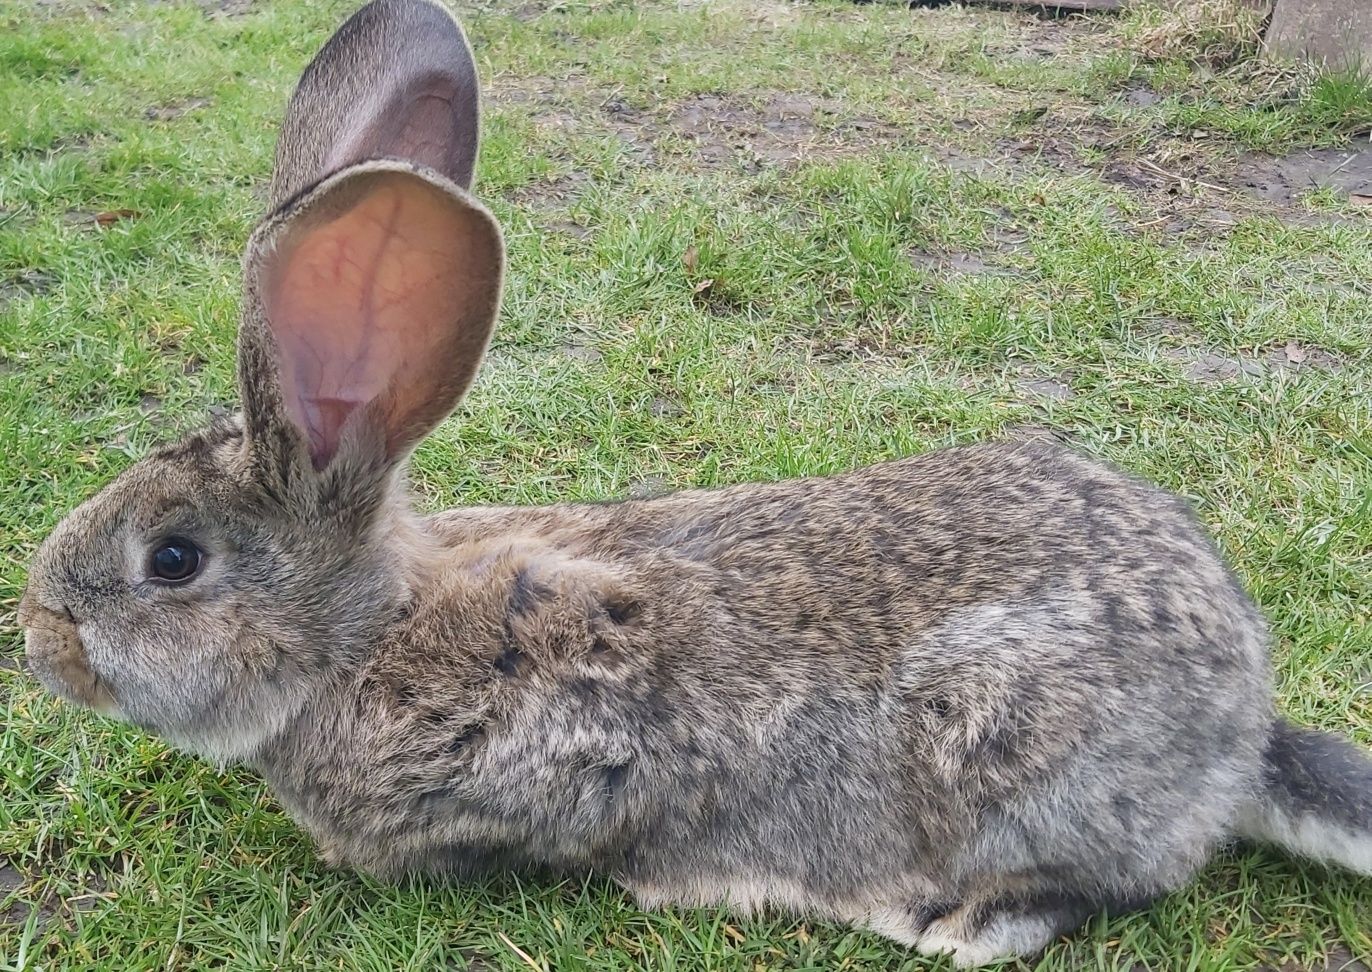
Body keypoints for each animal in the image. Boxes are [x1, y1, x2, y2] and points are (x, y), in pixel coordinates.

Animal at [13, 0, 1372, 966]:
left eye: (171, 561)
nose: (39, 639)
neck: (363, 636)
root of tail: (1240, 729)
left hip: (1014, 754)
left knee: (1096, 884)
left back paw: (952, 921)